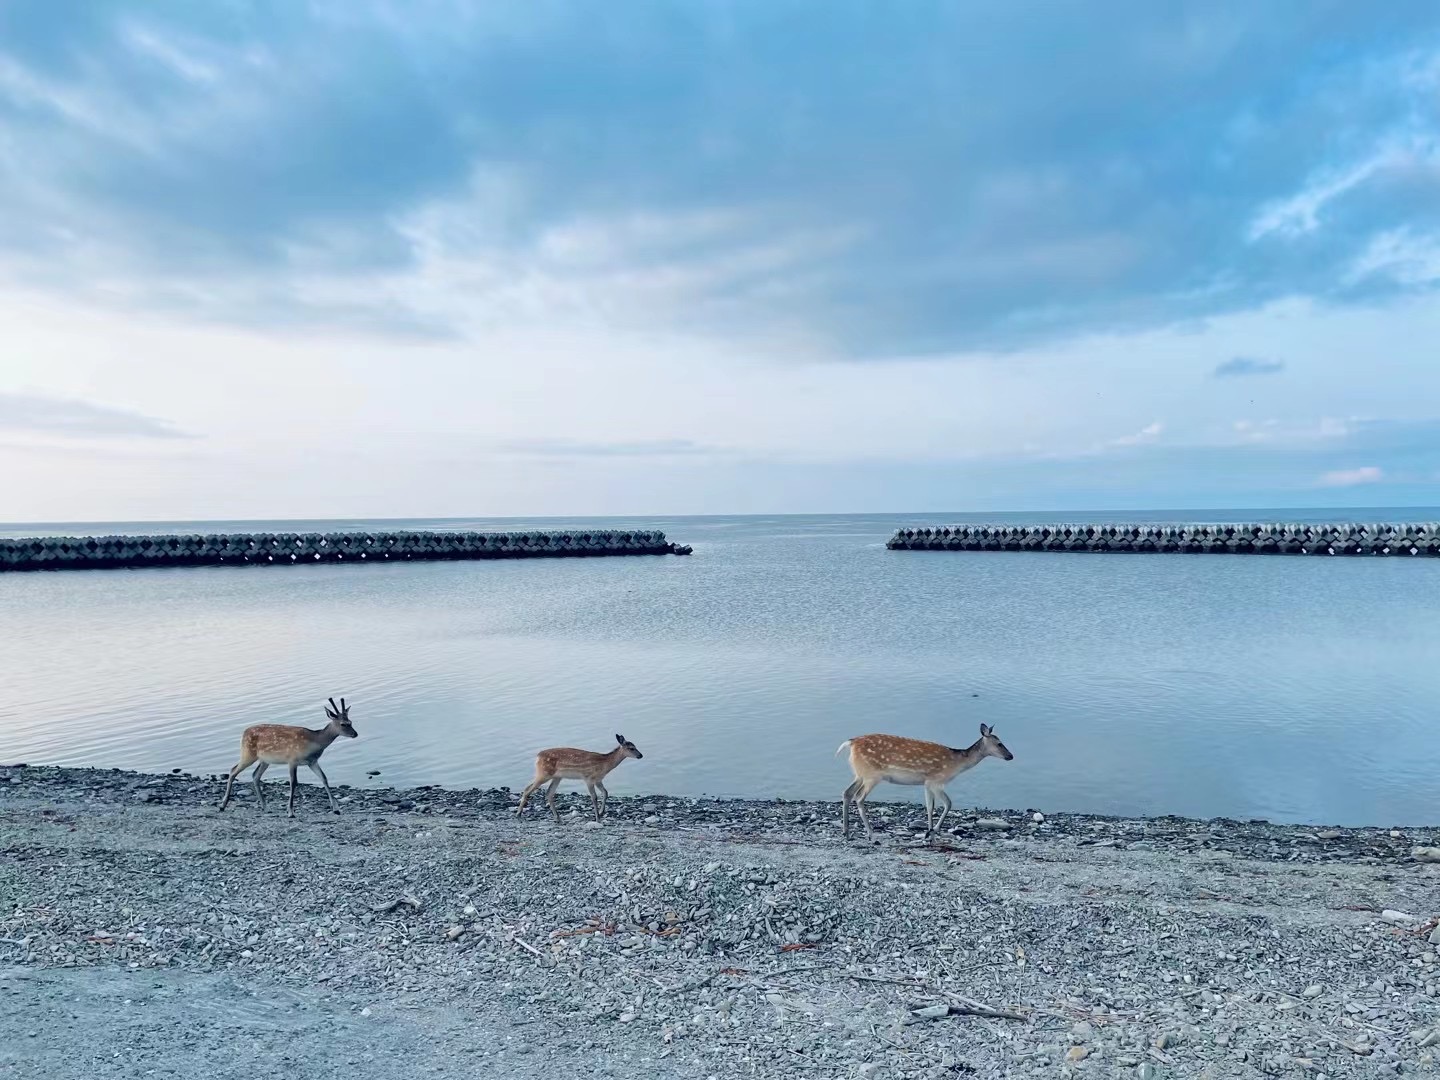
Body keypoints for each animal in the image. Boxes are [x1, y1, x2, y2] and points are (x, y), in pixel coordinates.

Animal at [218, 697, 358, 818]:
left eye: (350, 722)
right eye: (343, 724)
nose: (355, 734)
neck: (314, 742)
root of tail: (243, 733)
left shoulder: (312, 761)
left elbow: (324, 778)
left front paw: (336, 809)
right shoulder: (292, 759)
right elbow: (294, 782)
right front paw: (290, 812)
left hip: (265, 760)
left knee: (255, 775)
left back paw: (265, 807)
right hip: (248, 753)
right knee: (233, 770)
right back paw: (223, 805)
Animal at [837, 724, 1013, 839]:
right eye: (999, 743)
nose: (1011, 756)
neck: (956, 764)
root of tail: (851, 743)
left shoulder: (927, 783)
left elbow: (930, 807)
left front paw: (928, 831)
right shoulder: (936, 780)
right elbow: (948, 803)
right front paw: (934, 830)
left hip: (860, 774)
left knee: (847, 793)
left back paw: (846, 832)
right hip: (872, 775)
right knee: (859, 798)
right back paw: (871, 833)